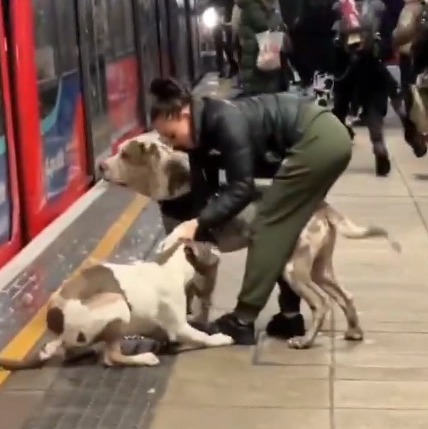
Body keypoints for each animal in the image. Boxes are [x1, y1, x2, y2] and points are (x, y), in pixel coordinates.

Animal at [0, 237, 231, 372]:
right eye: (208, 247)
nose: (217, 244)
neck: (173, 267)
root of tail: (55, 318)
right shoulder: (179, 326)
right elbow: (202, 336)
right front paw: (219, 338)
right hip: (116, 303)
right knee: (111, 357)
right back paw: (145, 358)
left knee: (70, 349)